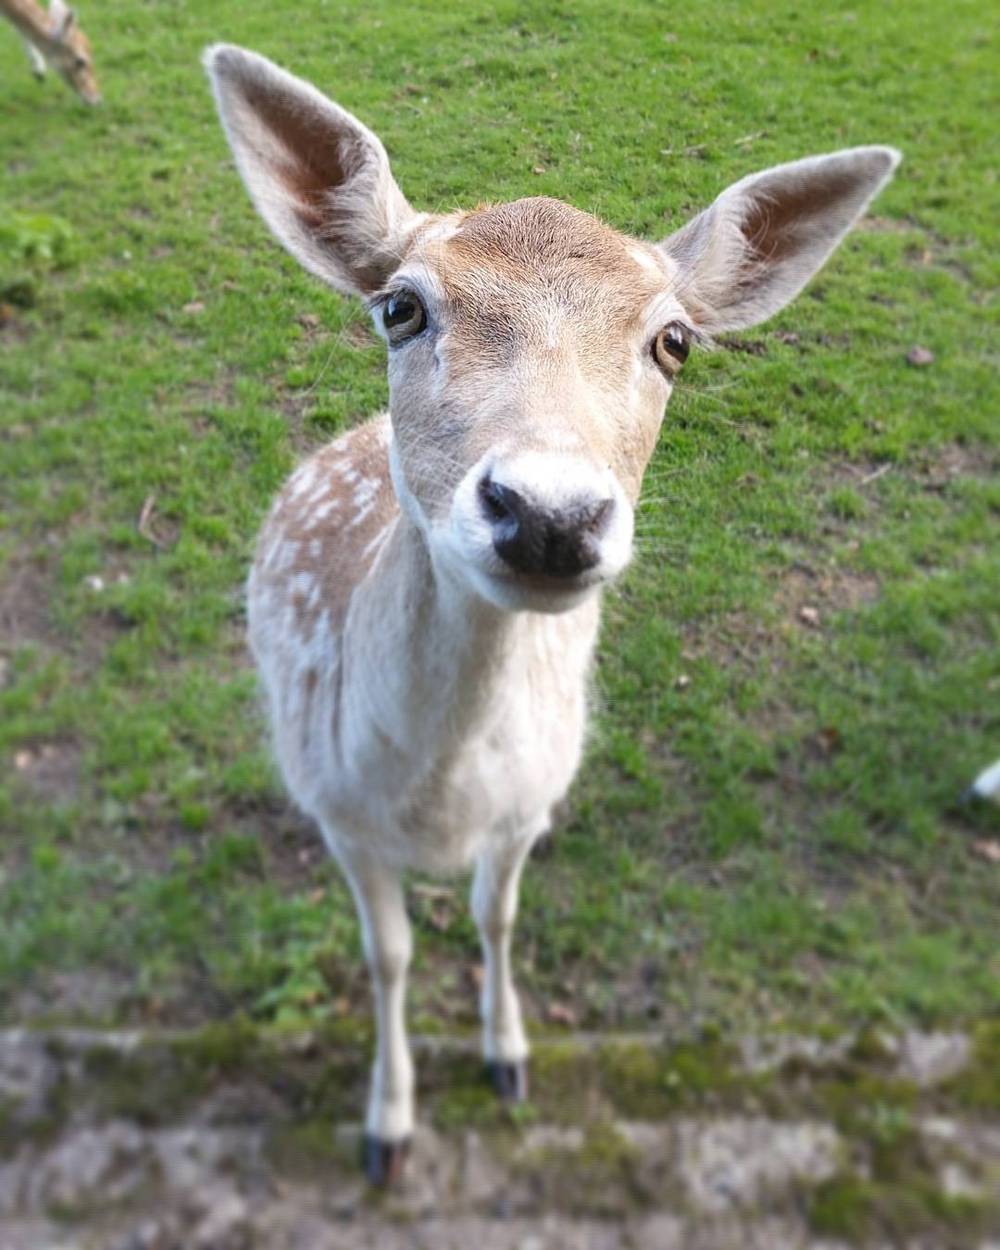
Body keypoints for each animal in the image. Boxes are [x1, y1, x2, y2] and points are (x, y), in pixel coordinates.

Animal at [204, 43, 900, 1186]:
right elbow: (388, 954)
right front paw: (387, 1126)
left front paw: (508, 1058)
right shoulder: (335, 806)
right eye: (399, 307)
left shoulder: (533, 797)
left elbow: (498, 913)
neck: (438, 803)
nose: (547, 512)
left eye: (674, 341)